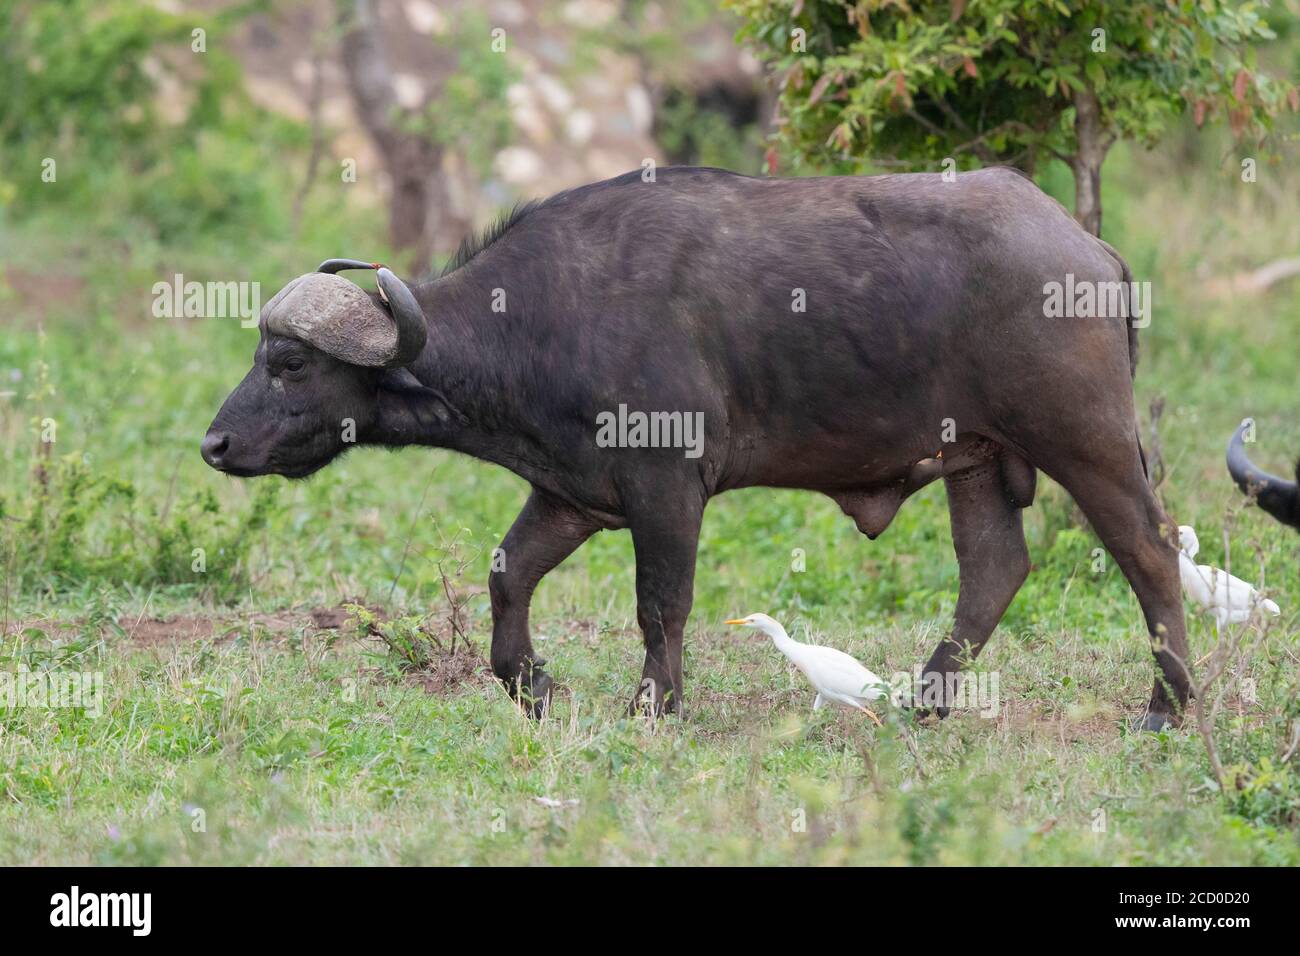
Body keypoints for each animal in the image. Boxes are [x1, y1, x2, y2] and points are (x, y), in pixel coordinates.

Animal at [202, 166, 1190, 733]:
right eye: (259, 353)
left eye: (290, 362)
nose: (215, 442)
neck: (547, 316)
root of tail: (1089, 248)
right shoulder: (574, 491)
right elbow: (507, 574)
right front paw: (532, 685)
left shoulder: (666, 485)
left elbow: (660, 603)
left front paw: (657, 708)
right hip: (978, 458)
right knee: (993, 567)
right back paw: (927, 701)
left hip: (1085, 437)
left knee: (1148, 552)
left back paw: (1168, 709)